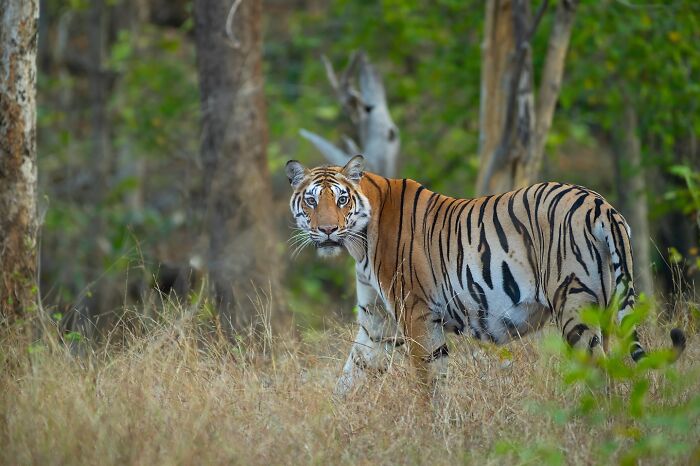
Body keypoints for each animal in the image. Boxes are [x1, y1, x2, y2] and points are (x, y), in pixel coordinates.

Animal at [284, 155, 684, 396]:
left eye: (341, 199)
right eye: (311, 200)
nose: (327, 231)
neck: (359, 242)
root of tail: (600, 204)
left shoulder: (415, 314)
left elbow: (427, 383)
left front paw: (430, 431)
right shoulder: (375, 323)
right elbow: (351, 376)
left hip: (575, 309)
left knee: (600, 373)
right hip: (607, 306)